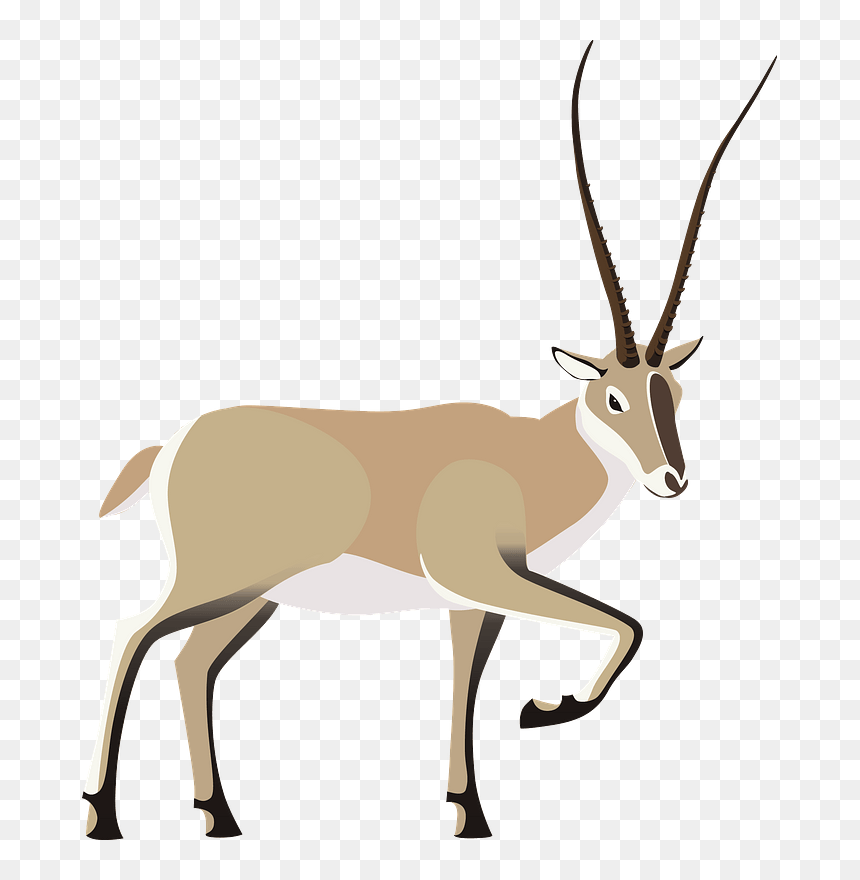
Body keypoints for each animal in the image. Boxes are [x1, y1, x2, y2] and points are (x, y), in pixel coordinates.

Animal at [82, 43, 774, 840]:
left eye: (675, 394)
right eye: (614, 396)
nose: (671, 480)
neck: (527, 461)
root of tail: (174, 444)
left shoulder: (476, 600)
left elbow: (468, 680)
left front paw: (469, 810)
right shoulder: (481, 576)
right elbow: (626, 623)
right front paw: (545, 711)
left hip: (252, 597)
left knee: (191, 662)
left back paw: (218, 816)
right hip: (218, 581)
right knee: (134, 635)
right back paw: (104, 814)